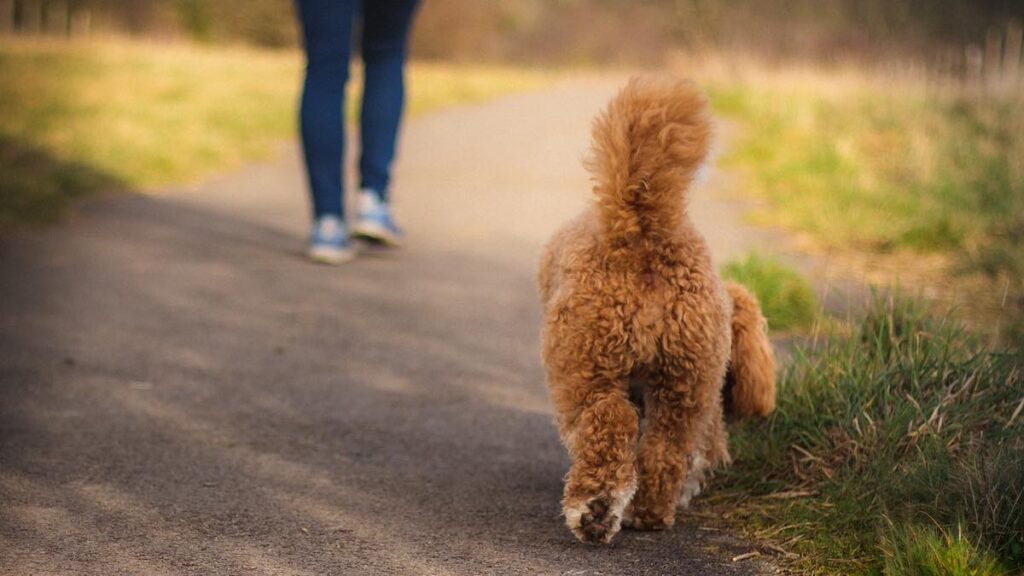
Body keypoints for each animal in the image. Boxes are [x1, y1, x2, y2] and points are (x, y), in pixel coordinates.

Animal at [540, 77, 770, 541]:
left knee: (609, 422)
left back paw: (595, 508)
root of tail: (645, 233)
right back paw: (647, 512)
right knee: (665, 449)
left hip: (586, 366)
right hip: (686, 381)